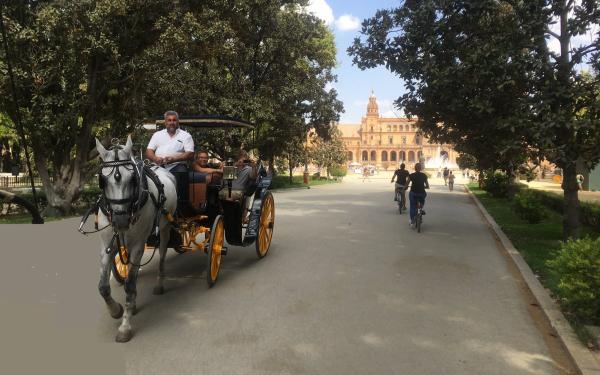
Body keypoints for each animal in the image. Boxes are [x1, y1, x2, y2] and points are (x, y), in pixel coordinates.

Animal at [95, 137, 177, 342]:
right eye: (102, 180)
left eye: (132, 179)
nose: (120, 220)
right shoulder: (106, 245)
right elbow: (103, 287)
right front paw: (116, 310)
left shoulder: (138, 245)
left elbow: (130, 285)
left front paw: (125, 326)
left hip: (165, 227)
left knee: (162, 254)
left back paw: (159, 284)